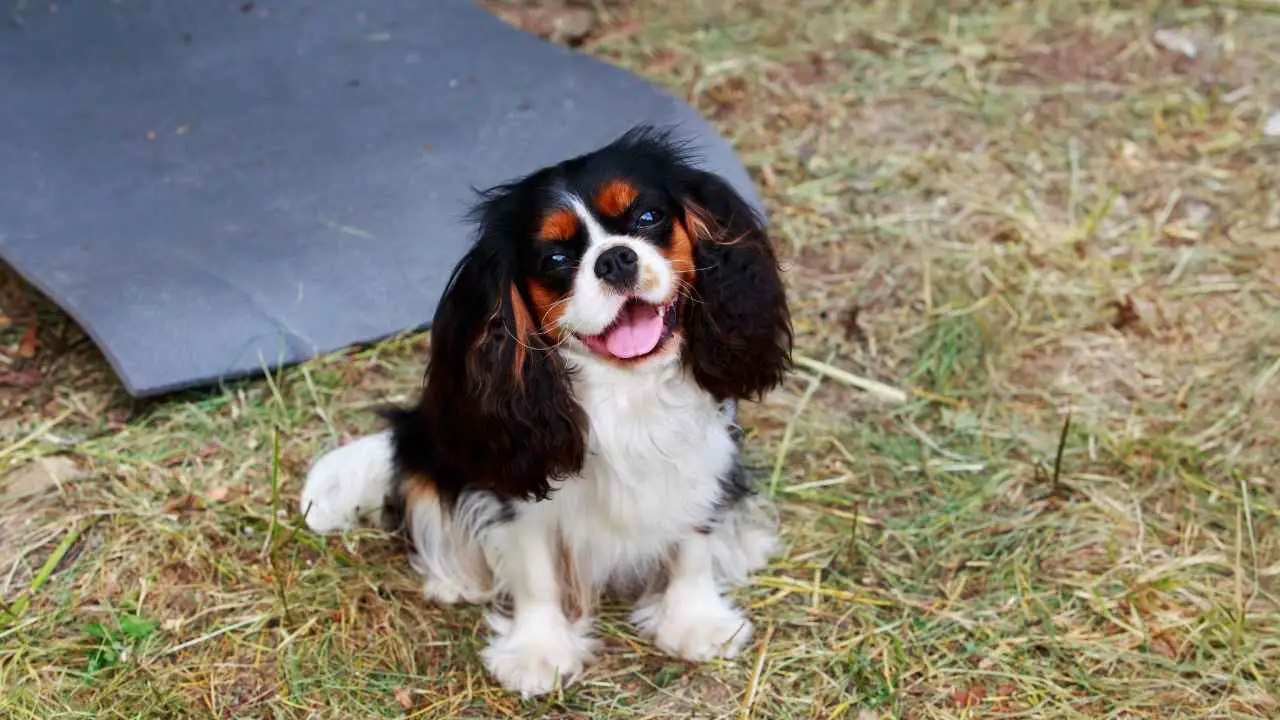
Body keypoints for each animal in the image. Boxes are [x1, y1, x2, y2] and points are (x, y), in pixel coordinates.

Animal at [298, 126, 788, 691]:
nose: (614, 258)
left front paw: (694, 622)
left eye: (648, 218)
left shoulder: (701, 457)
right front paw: (538, 652)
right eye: (554, 261)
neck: (626, 385)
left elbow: (693, 543)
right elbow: (535, 574)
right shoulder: (518, 483)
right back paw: (456, 579)